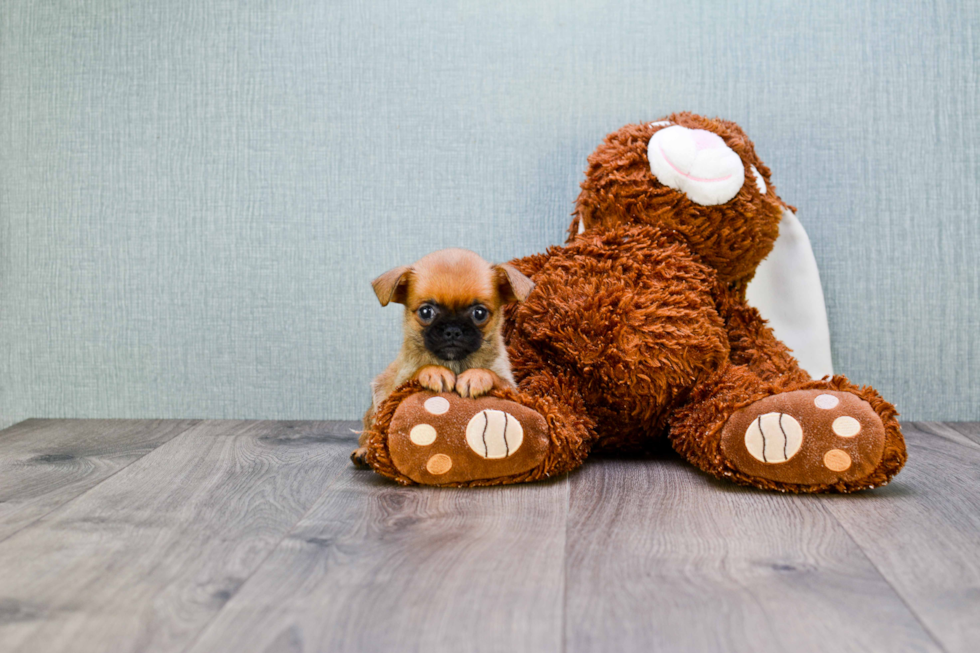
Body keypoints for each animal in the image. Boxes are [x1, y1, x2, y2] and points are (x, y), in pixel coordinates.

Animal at [350, 247, 536, 466]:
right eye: (426, 312)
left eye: (479, 313)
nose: (453, 329)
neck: (454, 362)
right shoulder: (395, 390)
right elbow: (417, 373)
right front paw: (434, 372)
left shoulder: (513, 390)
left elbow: (493, 375)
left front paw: (477, 376)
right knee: (368, 433)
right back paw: (364, 452)